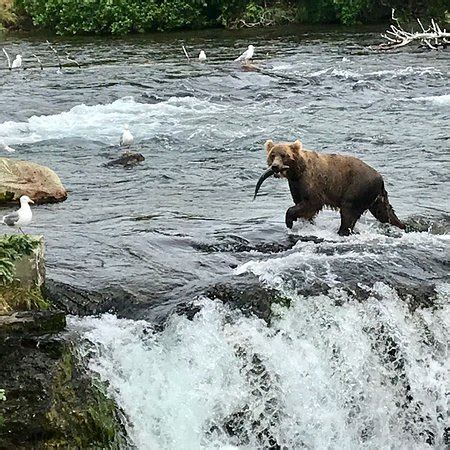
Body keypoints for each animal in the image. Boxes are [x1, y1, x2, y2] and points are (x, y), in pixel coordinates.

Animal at [255, 140, 406, 236]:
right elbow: (302, 205)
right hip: (375, 196)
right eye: (272, 155)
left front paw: (289, 221)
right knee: (384, 213)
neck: (297, 171)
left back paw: (341, 232)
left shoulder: (311, 182)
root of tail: (380, 178)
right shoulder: (295, 185)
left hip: (357, 187)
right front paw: (306, 223)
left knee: (348, 211)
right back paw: (401, 225)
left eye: (284, 155)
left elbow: (312, 202)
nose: (275, 167)